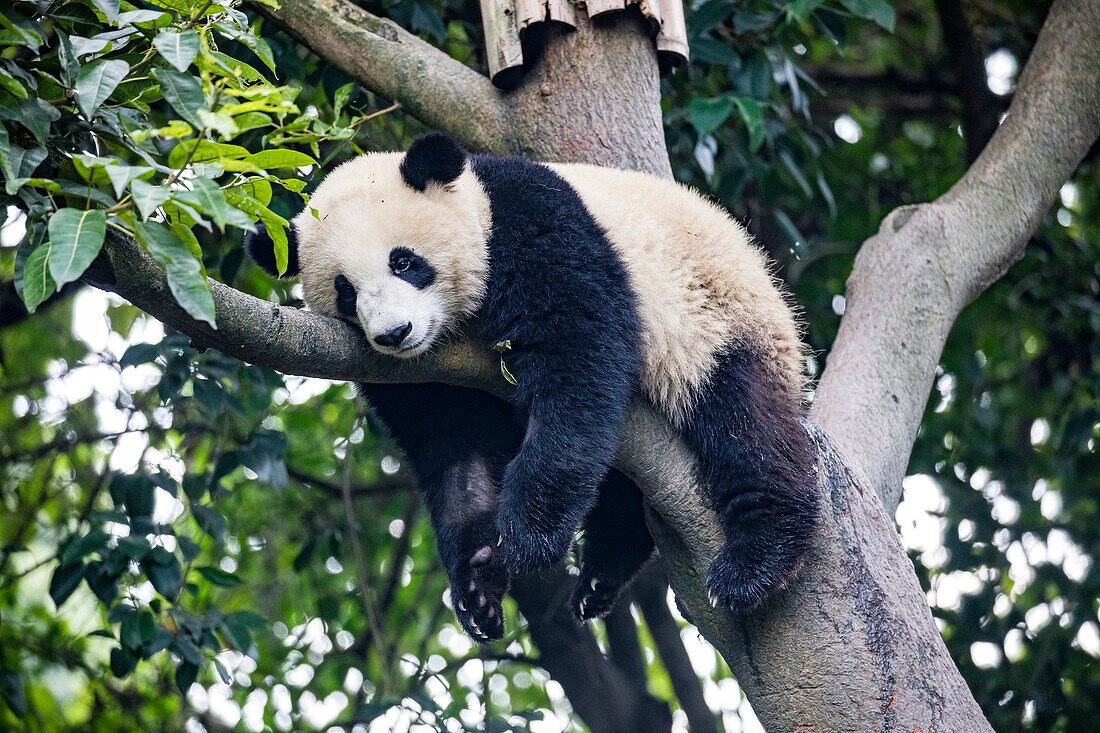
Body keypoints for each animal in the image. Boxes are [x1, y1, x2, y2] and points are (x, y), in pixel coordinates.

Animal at [247, 132, 818, 638]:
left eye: (403, 261)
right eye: (345, 292)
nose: (394, 334)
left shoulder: (533, 226)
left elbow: (576, 357)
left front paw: (529, 535)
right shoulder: (417, 375)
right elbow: (453, 444)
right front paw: (478, 581)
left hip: (718, 318)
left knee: (745, 422)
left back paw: (754, 560)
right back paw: (602, 574)